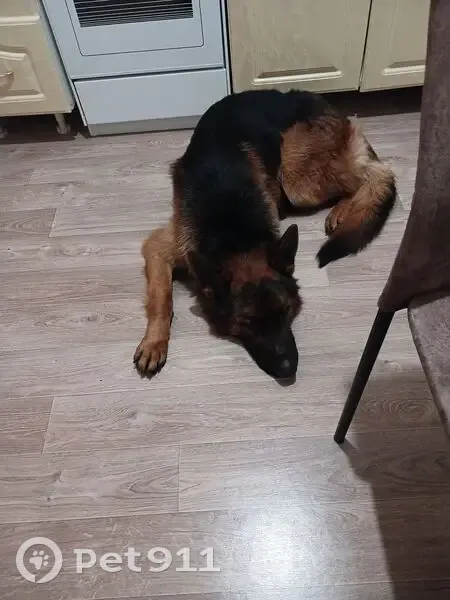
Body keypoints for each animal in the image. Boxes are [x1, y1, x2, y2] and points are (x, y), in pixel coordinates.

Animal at [133, 89, 396, 380]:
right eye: (248, 322)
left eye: (286, 311)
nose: (288, 369)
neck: (235, 234)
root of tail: (325, 103)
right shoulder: (160, 248)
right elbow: (161, 298)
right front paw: (154, 343)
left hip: (297, 180)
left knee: (367, 178)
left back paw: (342, 210)